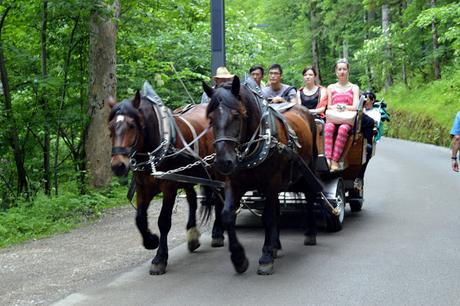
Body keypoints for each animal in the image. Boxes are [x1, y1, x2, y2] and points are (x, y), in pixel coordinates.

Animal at [108, 83, 223, 274]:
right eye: (110, 127)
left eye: (132, 125)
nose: (118, 165)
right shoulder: (143, 186)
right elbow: (140, 218)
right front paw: (150, 241)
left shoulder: (169, 185)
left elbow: (163, 221)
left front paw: (160, 258)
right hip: (188, 175)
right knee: (193, 199)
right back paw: (192, 235)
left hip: (217, 170)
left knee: (220, 198)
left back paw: (218, 233)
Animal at [203, 76, 322, 274]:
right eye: (211, 119)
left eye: (237, 115)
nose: (223, 162)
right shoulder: (234, 183)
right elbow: (228, 215)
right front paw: (239, 258)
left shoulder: (271, 183)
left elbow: (267, 218)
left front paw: (265, 257)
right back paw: (276, 244)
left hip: (308, 170)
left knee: (310, 196)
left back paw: (310, 234)